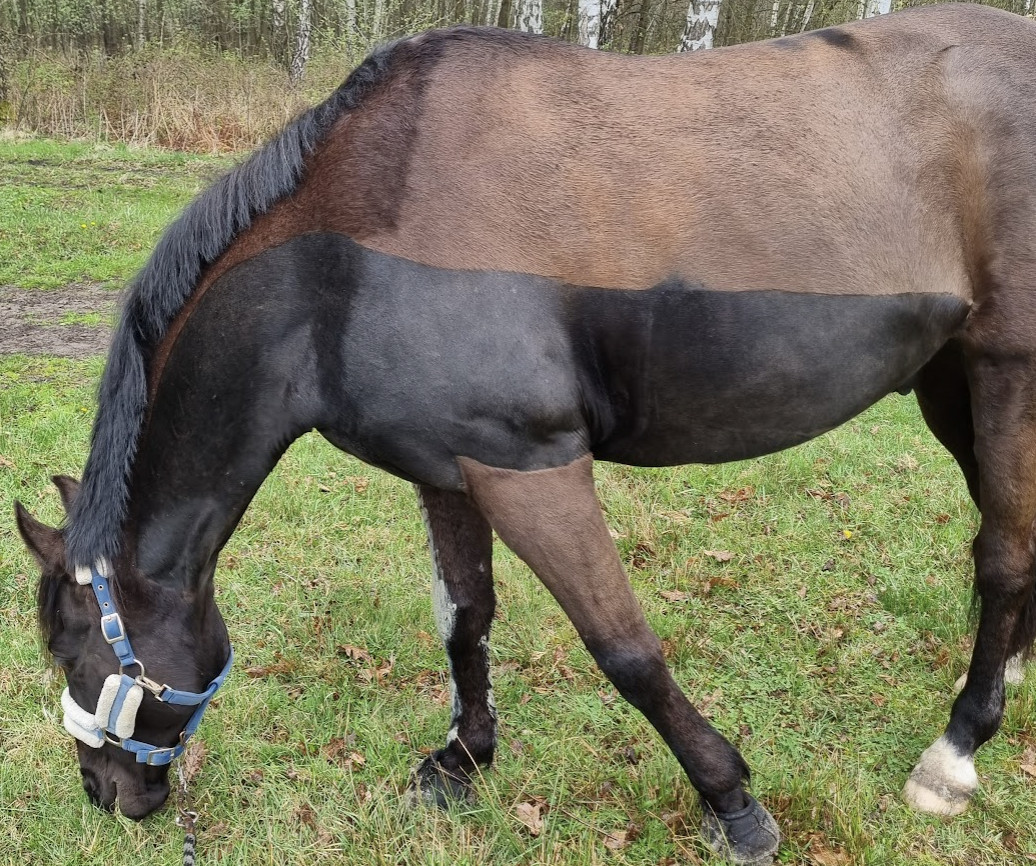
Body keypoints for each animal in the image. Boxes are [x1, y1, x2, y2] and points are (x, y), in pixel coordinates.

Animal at [15, 4, 1036, 862]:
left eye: (69, 649)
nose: (104, 792)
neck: (342, 262)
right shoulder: (448, 470)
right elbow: (464, 618)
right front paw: (464, 758)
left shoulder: (531, 469)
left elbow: (625, 648)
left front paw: (732, 802)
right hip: (950, 385)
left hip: (1005, 375)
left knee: (1002, 556)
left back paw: (954, 753)